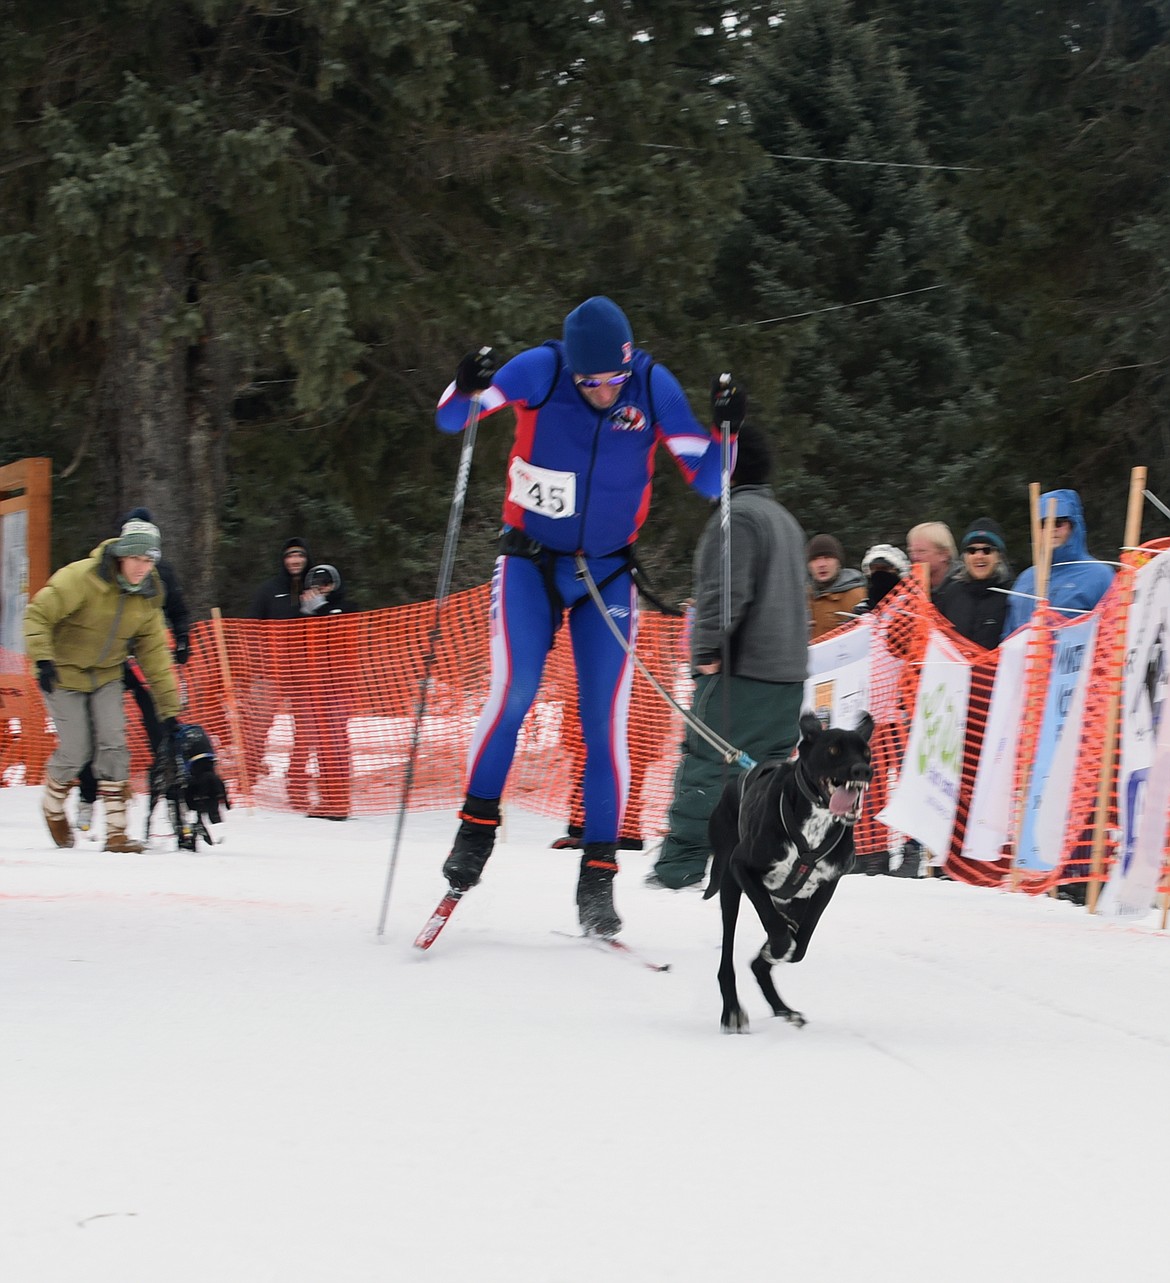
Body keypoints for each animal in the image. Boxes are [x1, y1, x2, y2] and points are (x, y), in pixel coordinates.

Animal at [144, 723, 229, 851]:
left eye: (220, 796)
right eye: (204, 798)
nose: (216, 819)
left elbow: (197, 820)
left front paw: (201, 836)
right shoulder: (185, 794)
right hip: (159, 788)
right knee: (150, 816)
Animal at [697, 713, 872, 1031]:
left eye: (866, 752)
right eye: (833, 749)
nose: (863, 770)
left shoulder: (826, 885)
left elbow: (801, 942)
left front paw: (782, 947)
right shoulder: (742, 867)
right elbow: (775, 927)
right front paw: (778, 945)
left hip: (792, 900)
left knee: (760, 963)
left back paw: (783, 1008)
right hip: (730, 887)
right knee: (727, 957)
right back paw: (732, 1010)